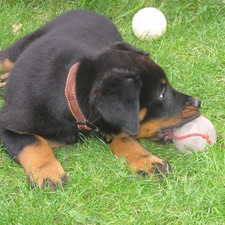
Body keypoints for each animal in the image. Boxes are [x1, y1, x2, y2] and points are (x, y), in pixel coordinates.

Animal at [0, 10, 200, 188]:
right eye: (162, 94)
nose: (198, 103)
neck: (69, 95)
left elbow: (123, 136)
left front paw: (147, 161)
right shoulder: (6, 123)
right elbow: (33, 142)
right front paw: (47, 172)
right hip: (12, 53)